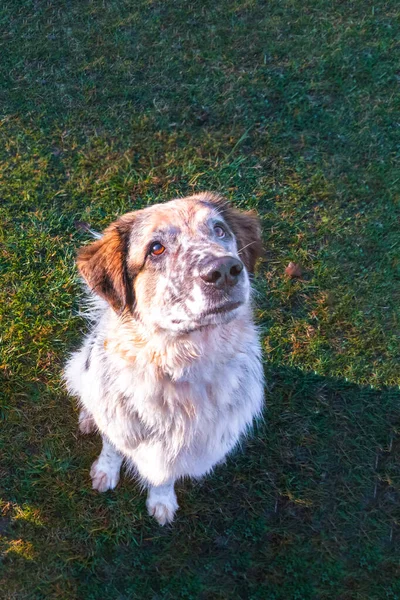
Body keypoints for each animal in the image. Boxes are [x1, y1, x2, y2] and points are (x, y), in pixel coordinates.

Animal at [64, 193, 264, 524]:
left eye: (219, 230)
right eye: (155, 248)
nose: (225, 270)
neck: (181, 365)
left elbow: (164, 476)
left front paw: (161, 501)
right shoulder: (118, 420)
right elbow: (111, 447)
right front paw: (105, 472)